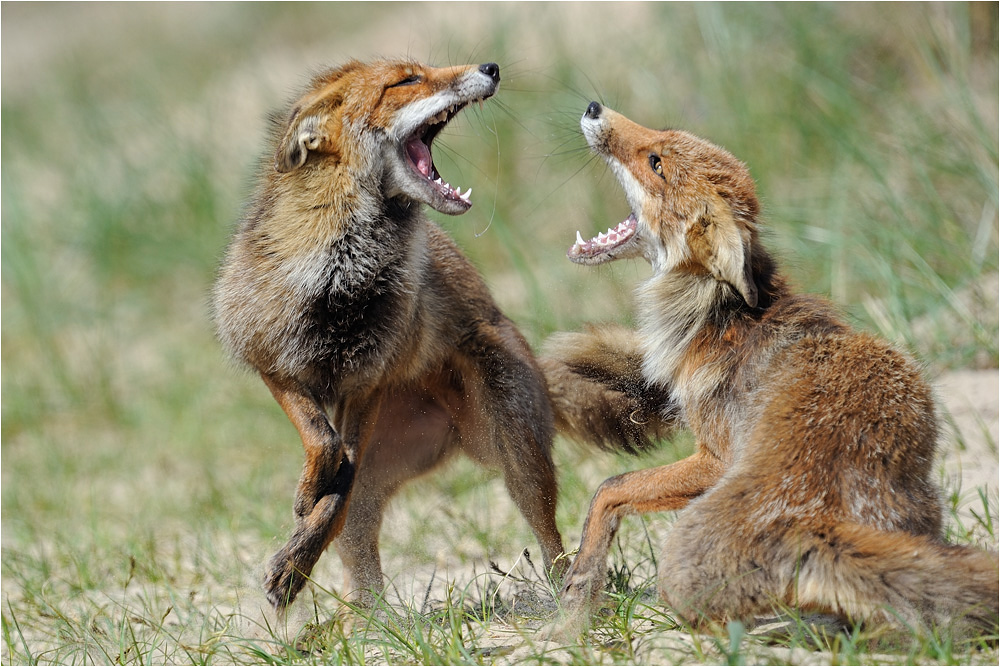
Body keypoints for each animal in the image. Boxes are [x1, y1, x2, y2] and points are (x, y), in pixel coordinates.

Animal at [214, 60, 568, 612]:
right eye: (406, 81)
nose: (490, 67)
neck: (339, 279)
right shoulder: (270, 362)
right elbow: (325, 446)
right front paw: (298, 543)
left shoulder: (368, 381)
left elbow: (340, 478)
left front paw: (294, 563)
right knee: (360, 560)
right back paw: (362, 621)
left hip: (518, 453)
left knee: (551, 541)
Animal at [544, 102, 996, 636]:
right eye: (661, 136)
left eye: (655, 163)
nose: (594, 107)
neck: (719, 312)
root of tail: (813, 521)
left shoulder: (714, 458)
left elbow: (608, 489)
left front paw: (577, 596)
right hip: (921, 511)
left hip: (680, 566)